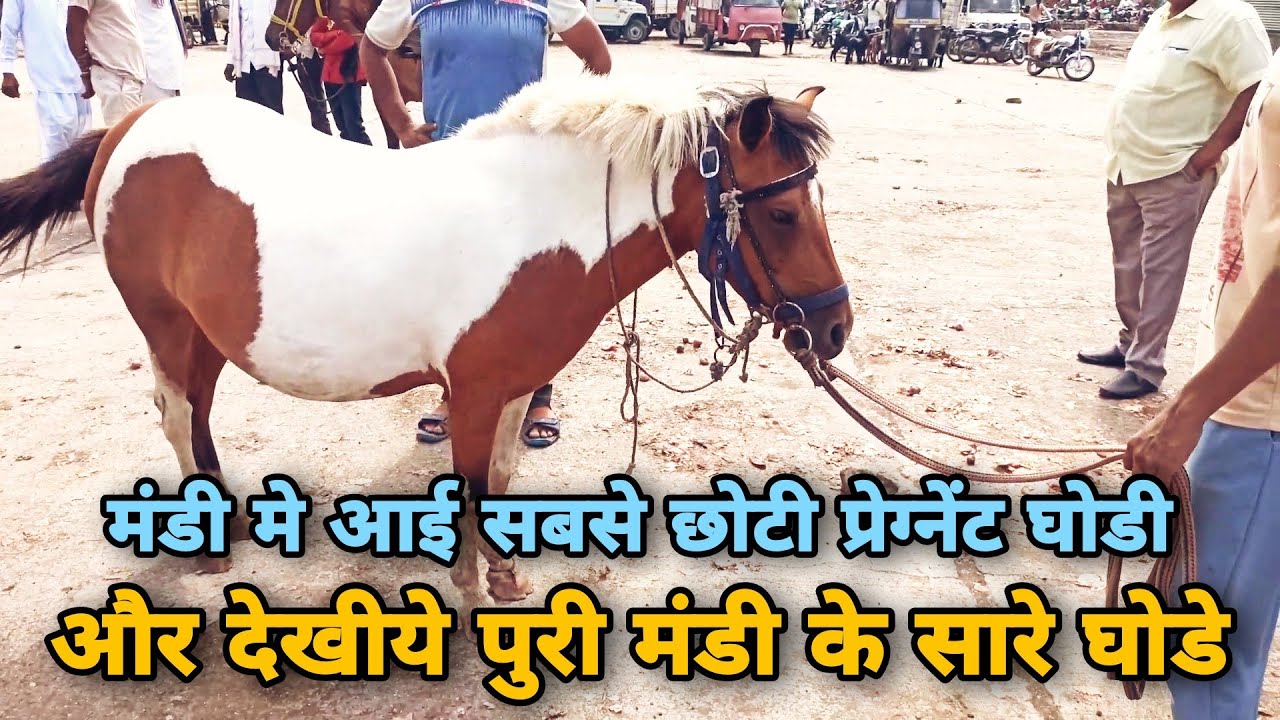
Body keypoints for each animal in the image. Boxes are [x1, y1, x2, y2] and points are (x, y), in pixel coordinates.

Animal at [0, 77, 853, 618]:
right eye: (781, 215)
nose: (835, 327)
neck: (533, 217)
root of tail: (127, 126)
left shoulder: (513, 389)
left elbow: (501, 479)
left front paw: (505, 579)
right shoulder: (472, 393)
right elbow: (473, 485)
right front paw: (474, 589)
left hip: (205, 331)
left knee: (199, 415)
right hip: (167, 325)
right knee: (178, 416)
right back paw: (212, 553)